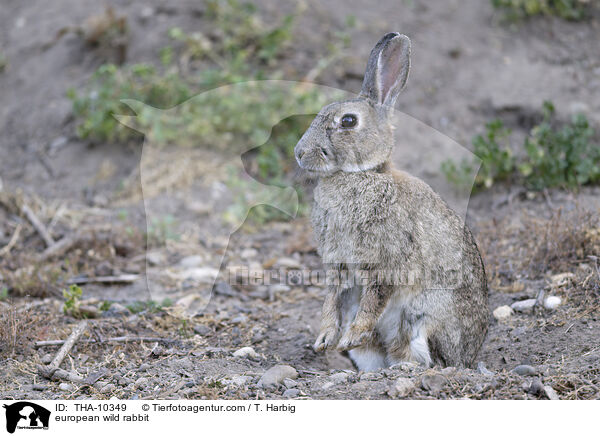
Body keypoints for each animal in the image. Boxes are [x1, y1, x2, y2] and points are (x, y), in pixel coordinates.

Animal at [296, 33, 488, 372]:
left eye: (348, 121)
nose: (299, 152)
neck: (362, 174)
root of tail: (467, 358)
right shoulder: (338, 264)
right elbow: (331, 300)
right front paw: (325, 339)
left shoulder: (387, 261)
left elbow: (374, 299)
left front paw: (349, 336)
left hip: (420, 319)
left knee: (428, 358)